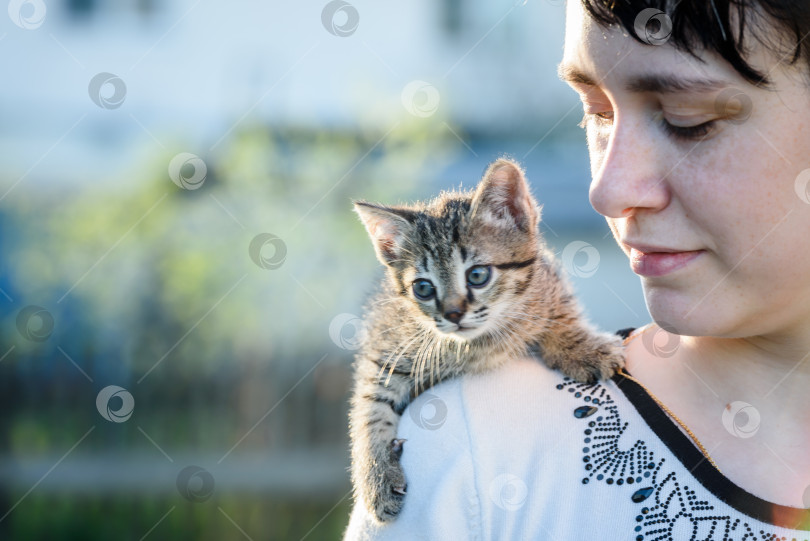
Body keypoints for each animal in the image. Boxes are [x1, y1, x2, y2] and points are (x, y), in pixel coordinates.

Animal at [346, 158, 620, 520]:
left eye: (477, 275)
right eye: (423, 288)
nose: (453, 314)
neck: (479, 343)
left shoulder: (548, 279)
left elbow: (559, 311)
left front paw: (583, 347)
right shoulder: (384, 347)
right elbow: (369, 409)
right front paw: (376, 475)